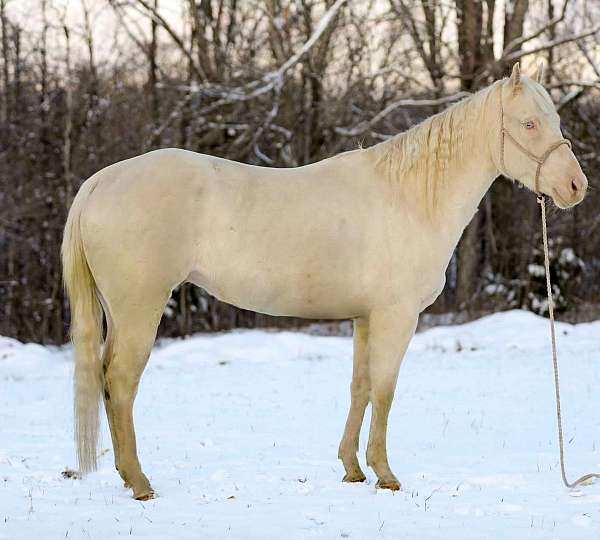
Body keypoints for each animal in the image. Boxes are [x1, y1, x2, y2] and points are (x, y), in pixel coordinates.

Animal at [62, 62, 584, 498]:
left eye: (556, 120)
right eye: (529, 124)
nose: (576, 187)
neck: (408, 198)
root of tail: (100, 182)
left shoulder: (364, 318)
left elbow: (360, 387)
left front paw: (352, 469)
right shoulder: (396, 317)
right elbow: (385, 389)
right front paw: (386, 475)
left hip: (120, 314)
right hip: (141, 310)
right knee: (121, 383)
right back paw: (139, 482)